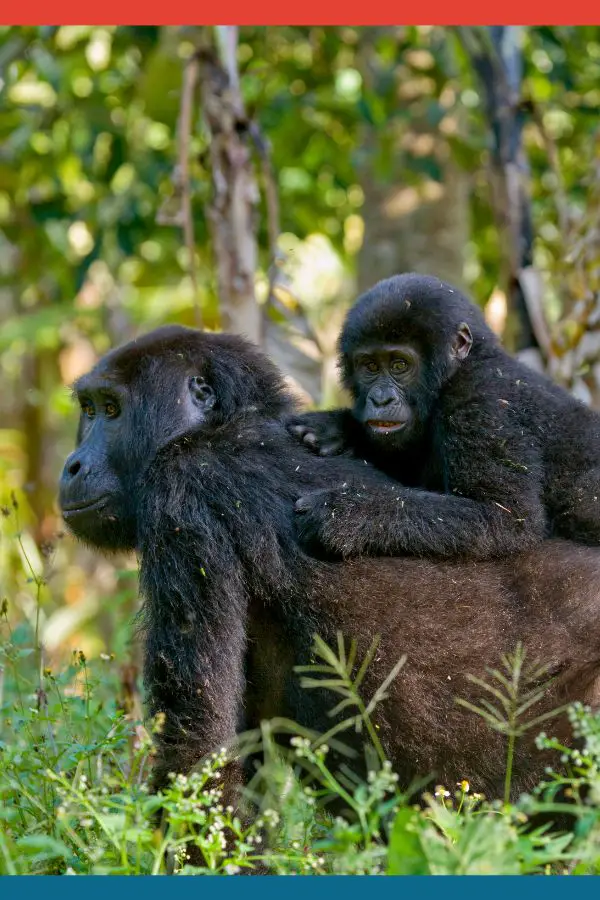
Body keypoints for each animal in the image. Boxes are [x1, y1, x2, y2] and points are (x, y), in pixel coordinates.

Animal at [59, 326, 600, 804]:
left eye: (111, 409)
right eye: (88, 409)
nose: (72, 466)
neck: (225, 424)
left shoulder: (181, 488)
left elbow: (197, 746)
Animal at [288, 270, 600, 560]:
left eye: (399, 365)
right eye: (370, 366)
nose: (381, 399)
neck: (460, 368)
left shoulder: (479, 405)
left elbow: (504, 517)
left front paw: (342, 513)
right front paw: (335, 428)